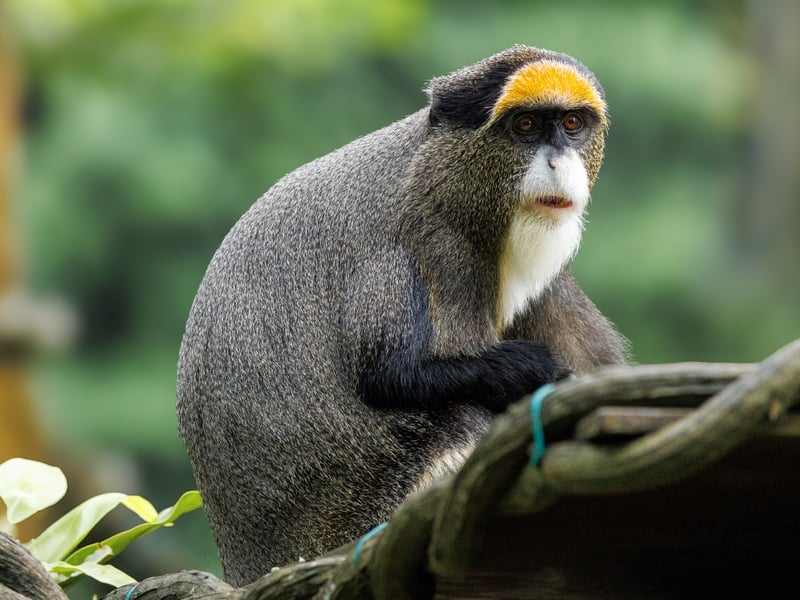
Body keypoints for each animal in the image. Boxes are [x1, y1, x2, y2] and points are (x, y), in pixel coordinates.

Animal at [176, 45, 627, 586]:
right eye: (525, 126)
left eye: (572, 123)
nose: (559, 161)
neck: (446, 184)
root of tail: (245, 565)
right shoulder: (420, 248)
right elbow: (389, 376)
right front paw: (530, 370)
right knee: (455, 416)